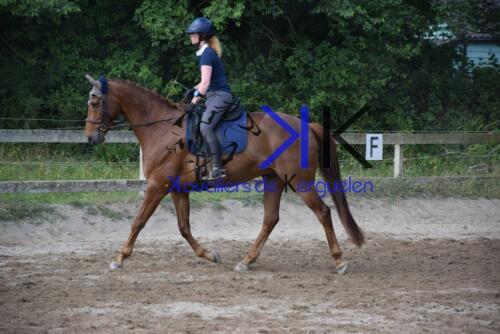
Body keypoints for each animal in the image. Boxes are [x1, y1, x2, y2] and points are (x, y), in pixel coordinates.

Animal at [83, 74, 364, 272]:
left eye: (95, 103)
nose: (90, 138)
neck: (161, 128)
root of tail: (307, 125)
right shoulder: (177, 189)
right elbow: (183, 227)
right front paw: (210, 255)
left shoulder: (157, 185)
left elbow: (138, 221)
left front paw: (119, 257)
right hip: (273, 179)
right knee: (270, 219)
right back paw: (246, 261)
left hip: (300, 182)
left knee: (323, 212)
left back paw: (339, 261)